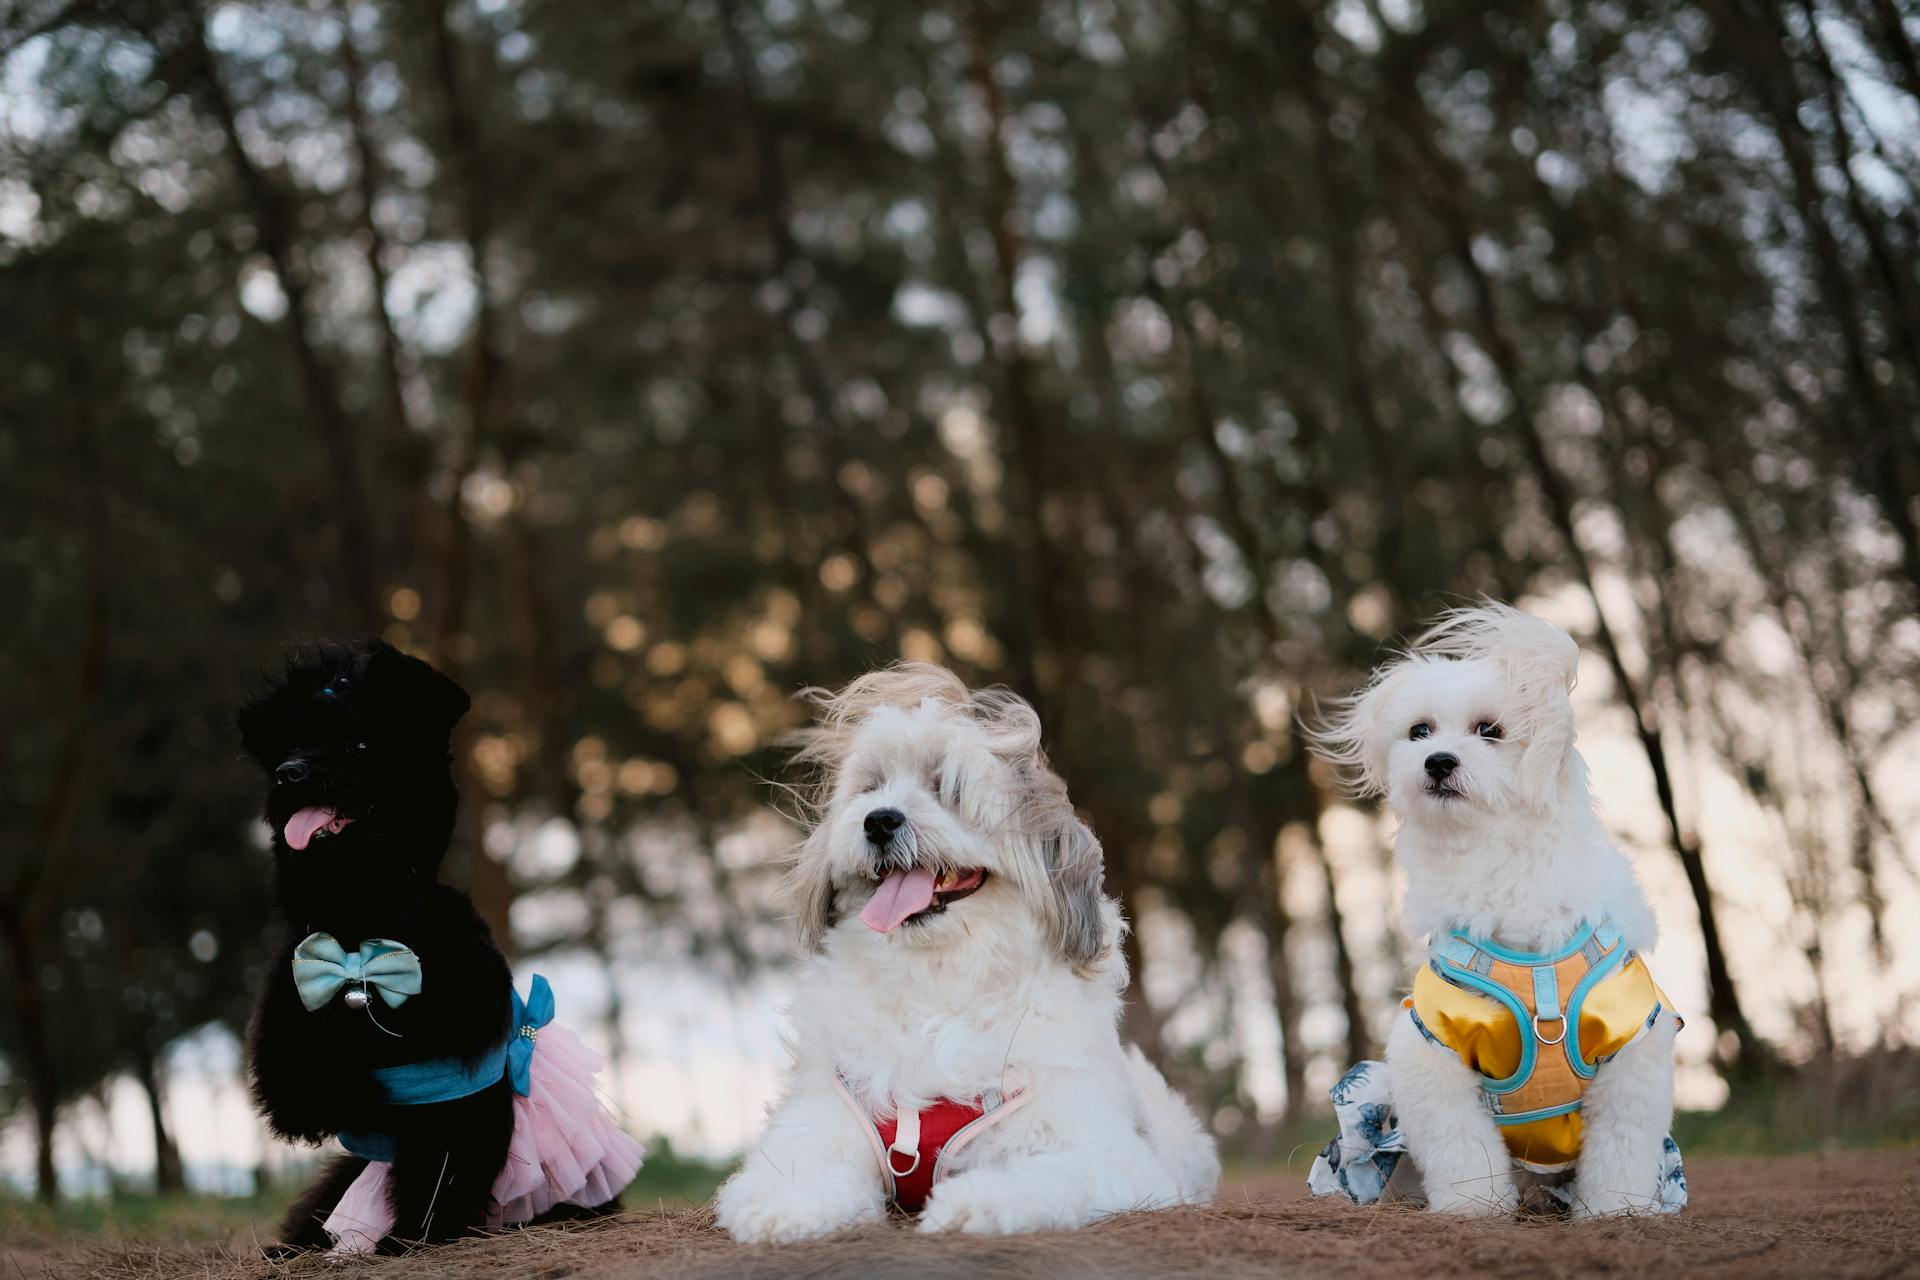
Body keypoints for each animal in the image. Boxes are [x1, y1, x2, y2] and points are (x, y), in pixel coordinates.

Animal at [240, 640, 522, 1251]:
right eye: (293, 743)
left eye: (360, 744)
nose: (291, 773)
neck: (357, 932)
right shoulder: (292, 1040)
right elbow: (309, 1083)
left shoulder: (452, 1097)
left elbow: (437, 1180)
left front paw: (409, 1240)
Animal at [721, 667, 1213, 1243]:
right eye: (870, 788)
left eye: (948, 789)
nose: (879, 820)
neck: (939, 979)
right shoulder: (821, 1125)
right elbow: (794, 1174)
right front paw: (782, 1209)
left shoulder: (1103, 1154)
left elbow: (1037, 1177)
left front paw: (972, 1203)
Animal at [1305, 610, 1681, 1220]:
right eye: (1420, 732)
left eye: (1491, 730)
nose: (1438, 761)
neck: (1496, 861)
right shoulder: (1431, 1047)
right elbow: (1461, 1147)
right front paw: (1472, 1209)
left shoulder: (1632, 1045)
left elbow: (1621, 1149)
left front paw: (1615, 1210)